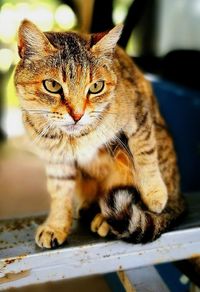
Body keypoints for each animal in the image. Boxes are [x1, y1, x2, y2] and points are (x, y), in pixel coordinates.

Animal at [14, 20, 185, 249]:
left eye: (96, 87)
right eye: (52, 85)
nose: (77, 115)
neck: (75, 138)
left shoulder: (140, 114)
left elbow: (146, 153)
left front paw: (154, 193)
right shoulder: (55, 158)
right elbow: (59, 193)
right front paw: (56, 226)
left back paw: (105, 218)